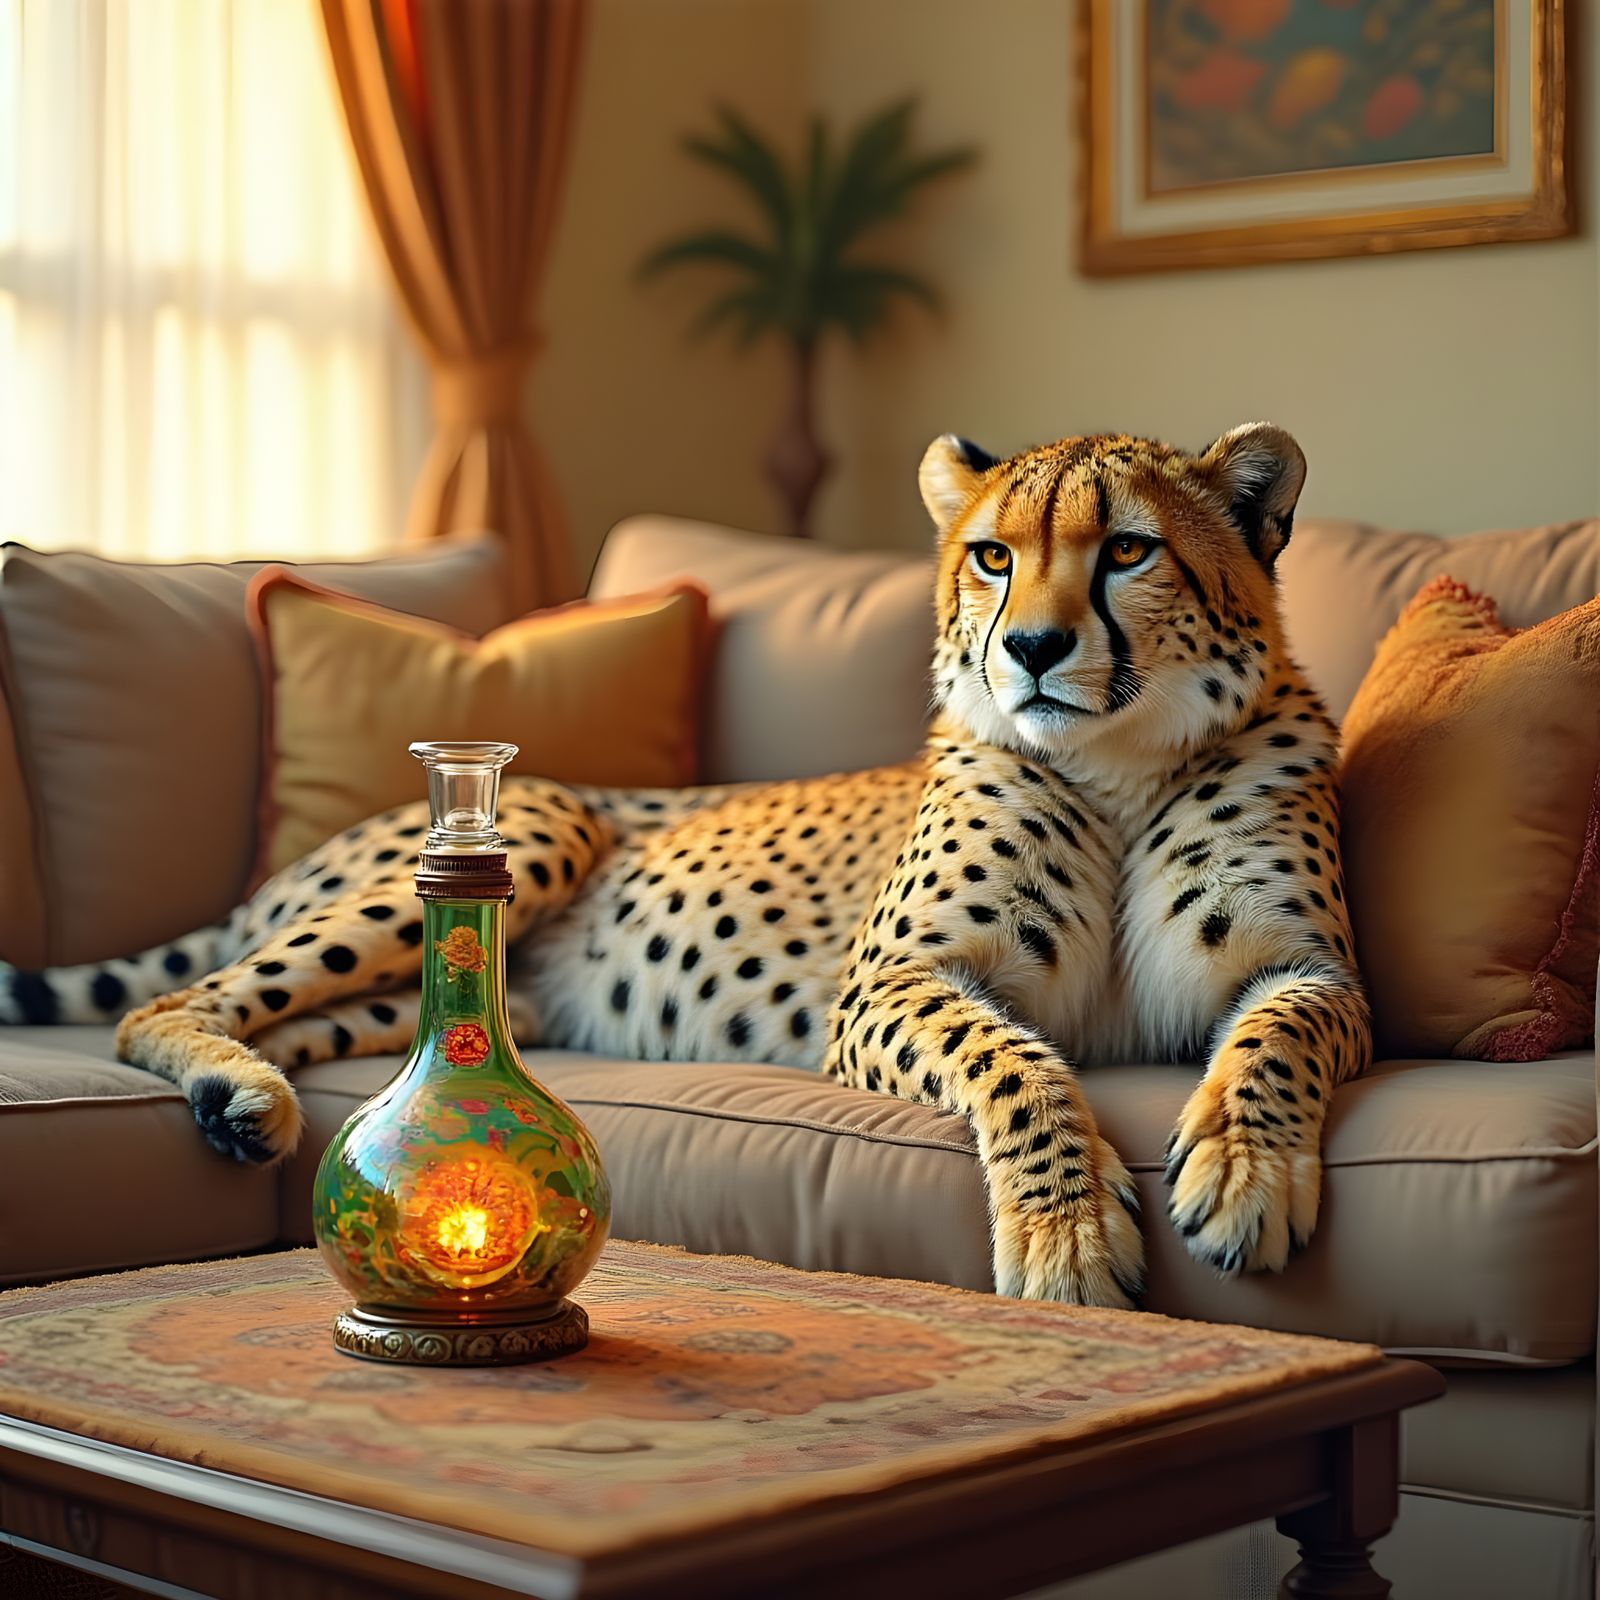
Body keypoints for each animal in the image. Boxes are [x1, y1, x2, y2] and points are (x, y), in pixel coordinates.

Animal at [0, 422, 1368, 1309]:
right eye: (993, 556)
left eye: (1128, 551)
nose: (1029, 647)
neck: (1115, 770)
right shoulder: (886, 986)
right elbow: (1018, 1066)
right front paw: (1066, 1232)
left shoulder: (1316, 971)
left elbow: (1276, 1034)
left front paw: (1243, 1171)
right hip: (537, 825)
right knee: (163, 1004)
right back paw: (237, 1092)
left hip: (456, 984)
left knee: (297, 1024)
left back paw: (254, 1099)